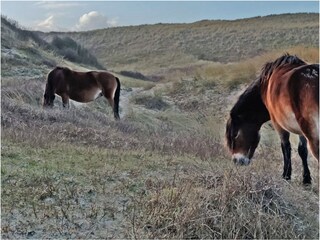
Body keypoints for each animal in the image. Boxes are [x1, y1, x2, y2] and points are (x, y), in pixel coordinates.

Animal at [226, 54, 318, 185]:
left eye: (234, 135)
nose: (237, 161)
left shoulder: (278, 124)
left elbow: (285, 147)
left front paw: (286, 175)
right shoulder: (300, 130)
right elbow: (302, 150)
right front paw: (306, 179)